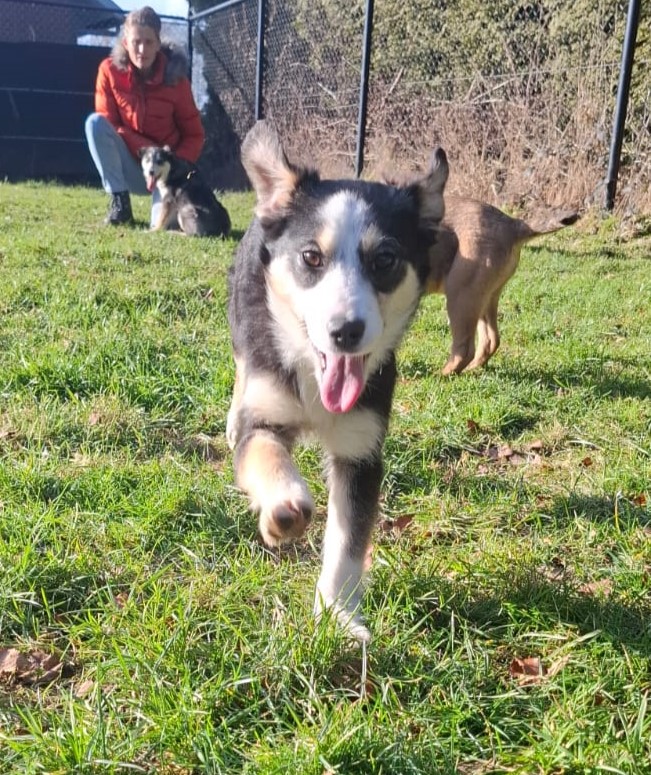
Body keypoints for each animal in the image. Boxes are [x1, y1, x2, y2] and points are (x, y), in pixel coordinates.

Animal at [226, 121, 448, 641]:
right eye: (311, 257)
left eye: (385, 259)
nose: (345, 331)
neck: (311, 371)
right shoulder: (265, 413)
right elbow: (264, 451)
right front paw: (284, 509)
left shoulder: (361, 451)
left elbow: (348, 542)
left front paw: (339, 616)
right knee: (241, 375)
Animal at [426, 196, 579, 374]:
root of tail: (512, 225)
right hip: (484, 298)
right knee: (491, 340)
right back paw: (473, 369)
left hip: (461, 296)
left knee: (465, 349)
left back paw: (440, 375)